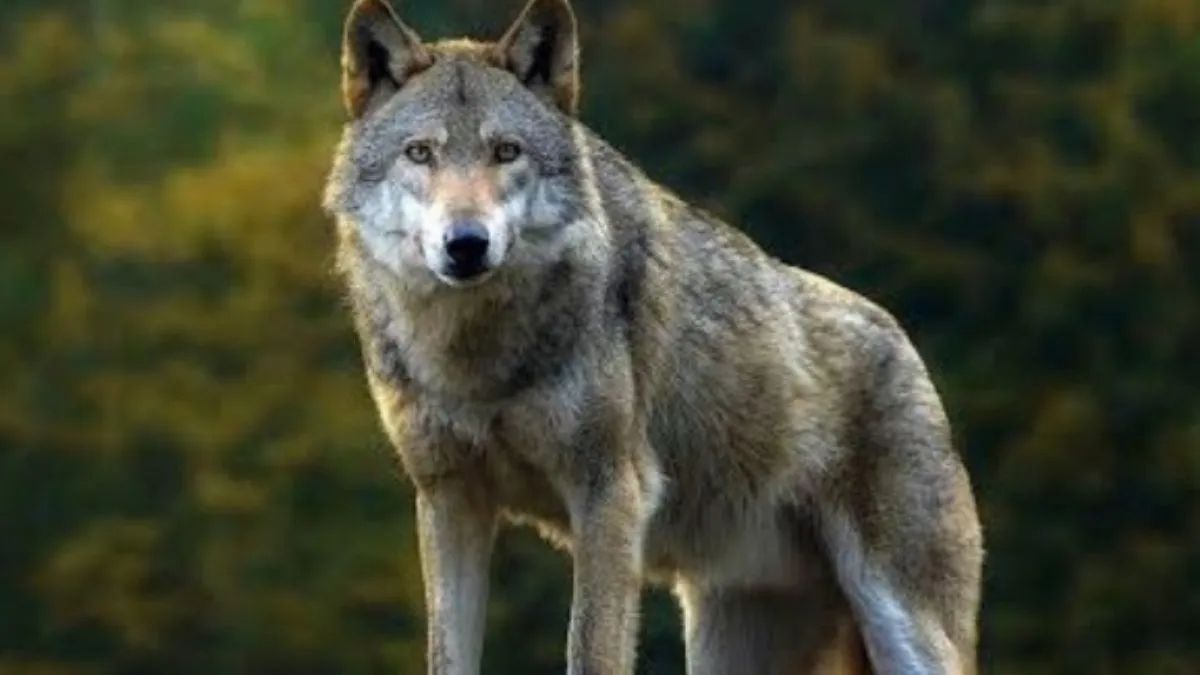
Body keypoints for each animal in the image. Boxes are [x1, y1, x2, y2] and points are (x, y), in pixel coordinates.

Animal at [323, 0, 983, 673]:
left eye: (506, 151)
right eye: (420, 153)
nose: (466, 243)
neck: (475, 358)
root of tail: (904, 344)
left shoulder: (610, 493)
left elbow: (591, 648)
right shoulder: (450, 500)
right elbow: (447, 653)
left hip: (903, 628)